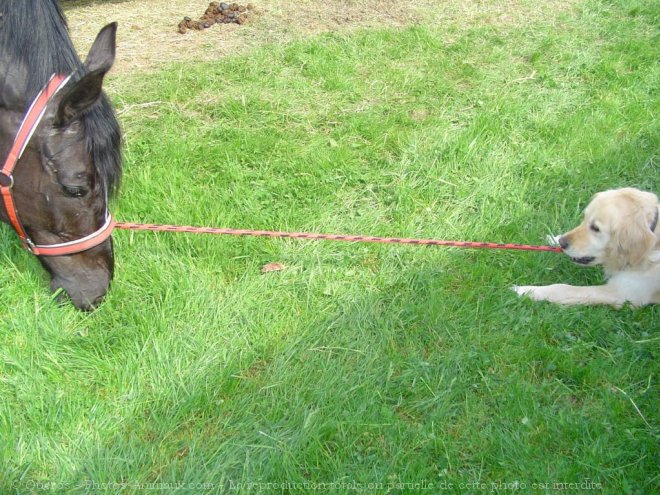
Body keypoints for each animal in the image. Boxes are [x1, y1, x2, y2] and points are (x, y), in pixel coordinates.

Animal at [516, 188, 660, 308]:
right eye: (584, 218)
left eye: (595, 228)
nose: (563, 243)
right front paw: (555, 238)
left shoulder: (623, 294)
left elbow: (563, 288)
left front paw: (526, 290)